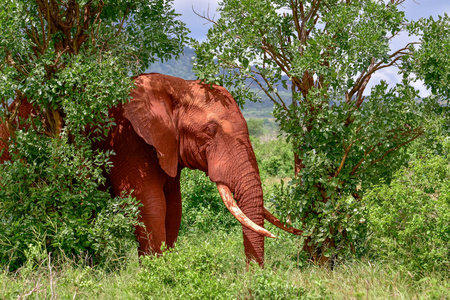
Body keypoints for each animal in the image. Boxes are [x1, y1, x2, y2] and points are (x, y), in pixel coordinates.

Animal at [1, 74, 302, 266]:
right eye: (210, 131)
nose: (253, 275)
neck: (176, 86)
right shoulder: (125, 139)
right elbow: (151, 204)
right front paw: (155, 272)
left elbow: (174, 208)